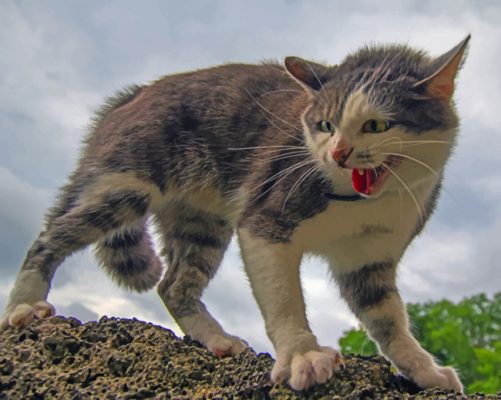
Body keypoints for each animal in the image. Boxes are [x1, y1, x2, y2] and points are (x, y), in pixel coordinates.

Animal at [0, 34, 468, 390]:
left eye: (376, 125)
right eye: (325, 125)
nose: (337, 153)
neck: (360, 205)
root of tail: (132, 94)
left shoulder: (368, 259)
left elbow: (389, 320)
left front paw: (423, 369)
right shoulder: (266, 220)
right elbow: (284, 299)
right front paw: (302, 355)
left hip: (201, 224)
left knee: (175, 286)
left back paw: (216, 340)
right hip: (123, 185)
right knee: (50, 237)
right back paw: (23, 308)